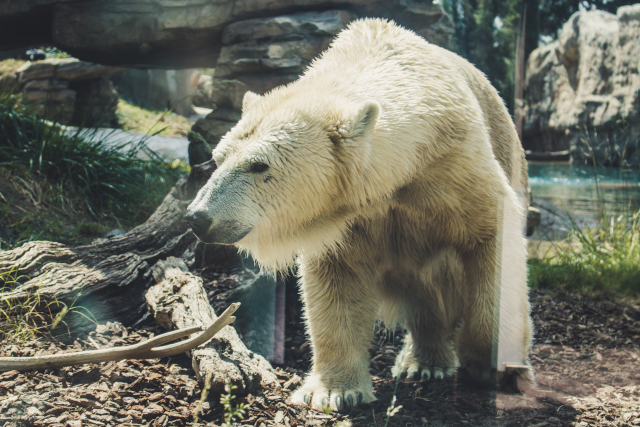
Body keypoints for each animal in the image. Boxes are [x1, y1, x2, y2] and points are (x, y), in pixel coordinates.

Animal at [186, 18, 536, 412]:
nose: (198, 217)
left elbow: (492, 240)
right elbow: (337, 281)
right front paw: (333, 391)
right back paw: (422, 362)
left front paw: (496, 366)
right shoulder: (350, 220)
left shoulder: (454, 169)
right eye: (217, 158)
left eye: (259, 165)